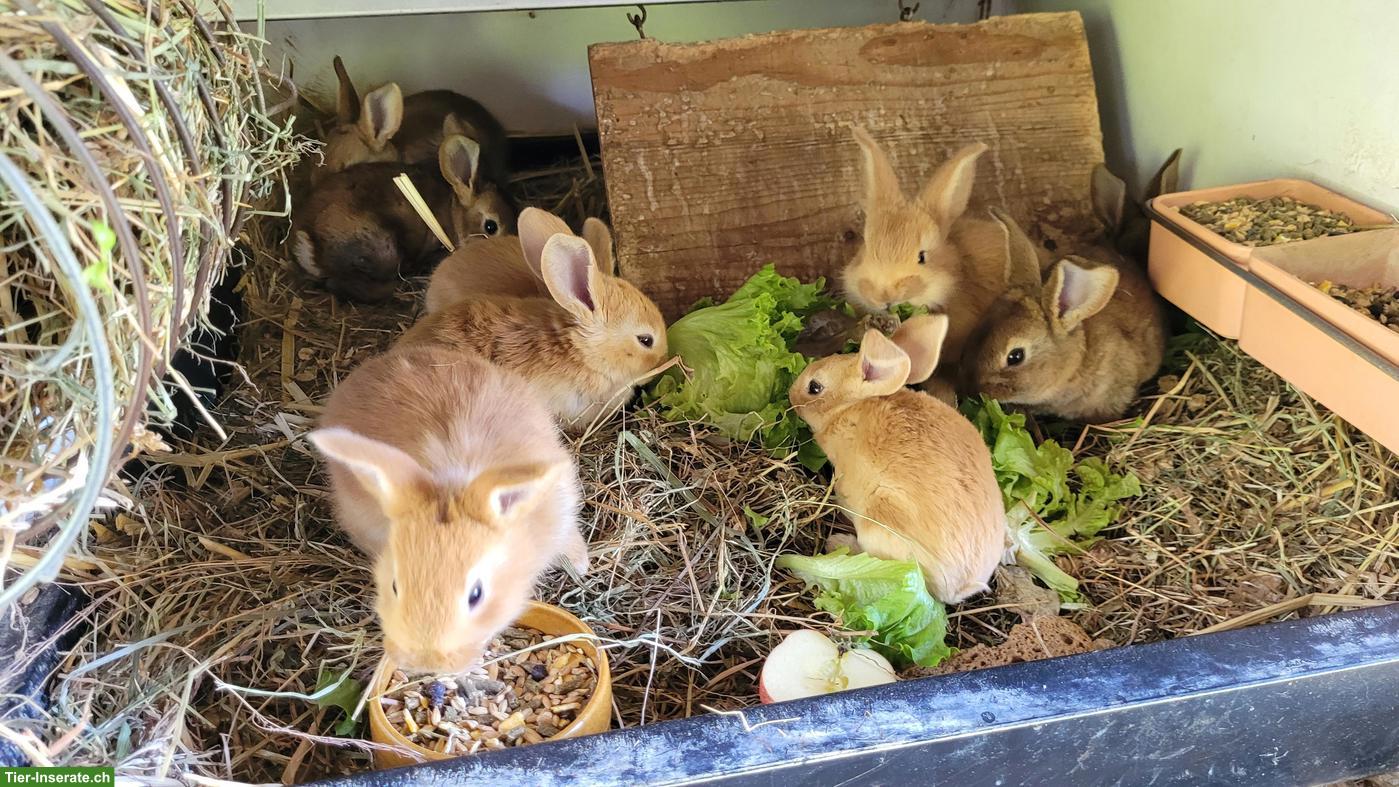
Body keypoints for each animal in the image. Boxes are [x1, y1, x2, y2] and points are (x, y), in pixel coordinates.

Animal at [789, 315, 1005, 604]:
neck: (848, 408)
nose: (791, 394)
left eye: (814, 387)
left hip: (880, 525)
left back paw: (838, 542)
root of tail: (964, 585)